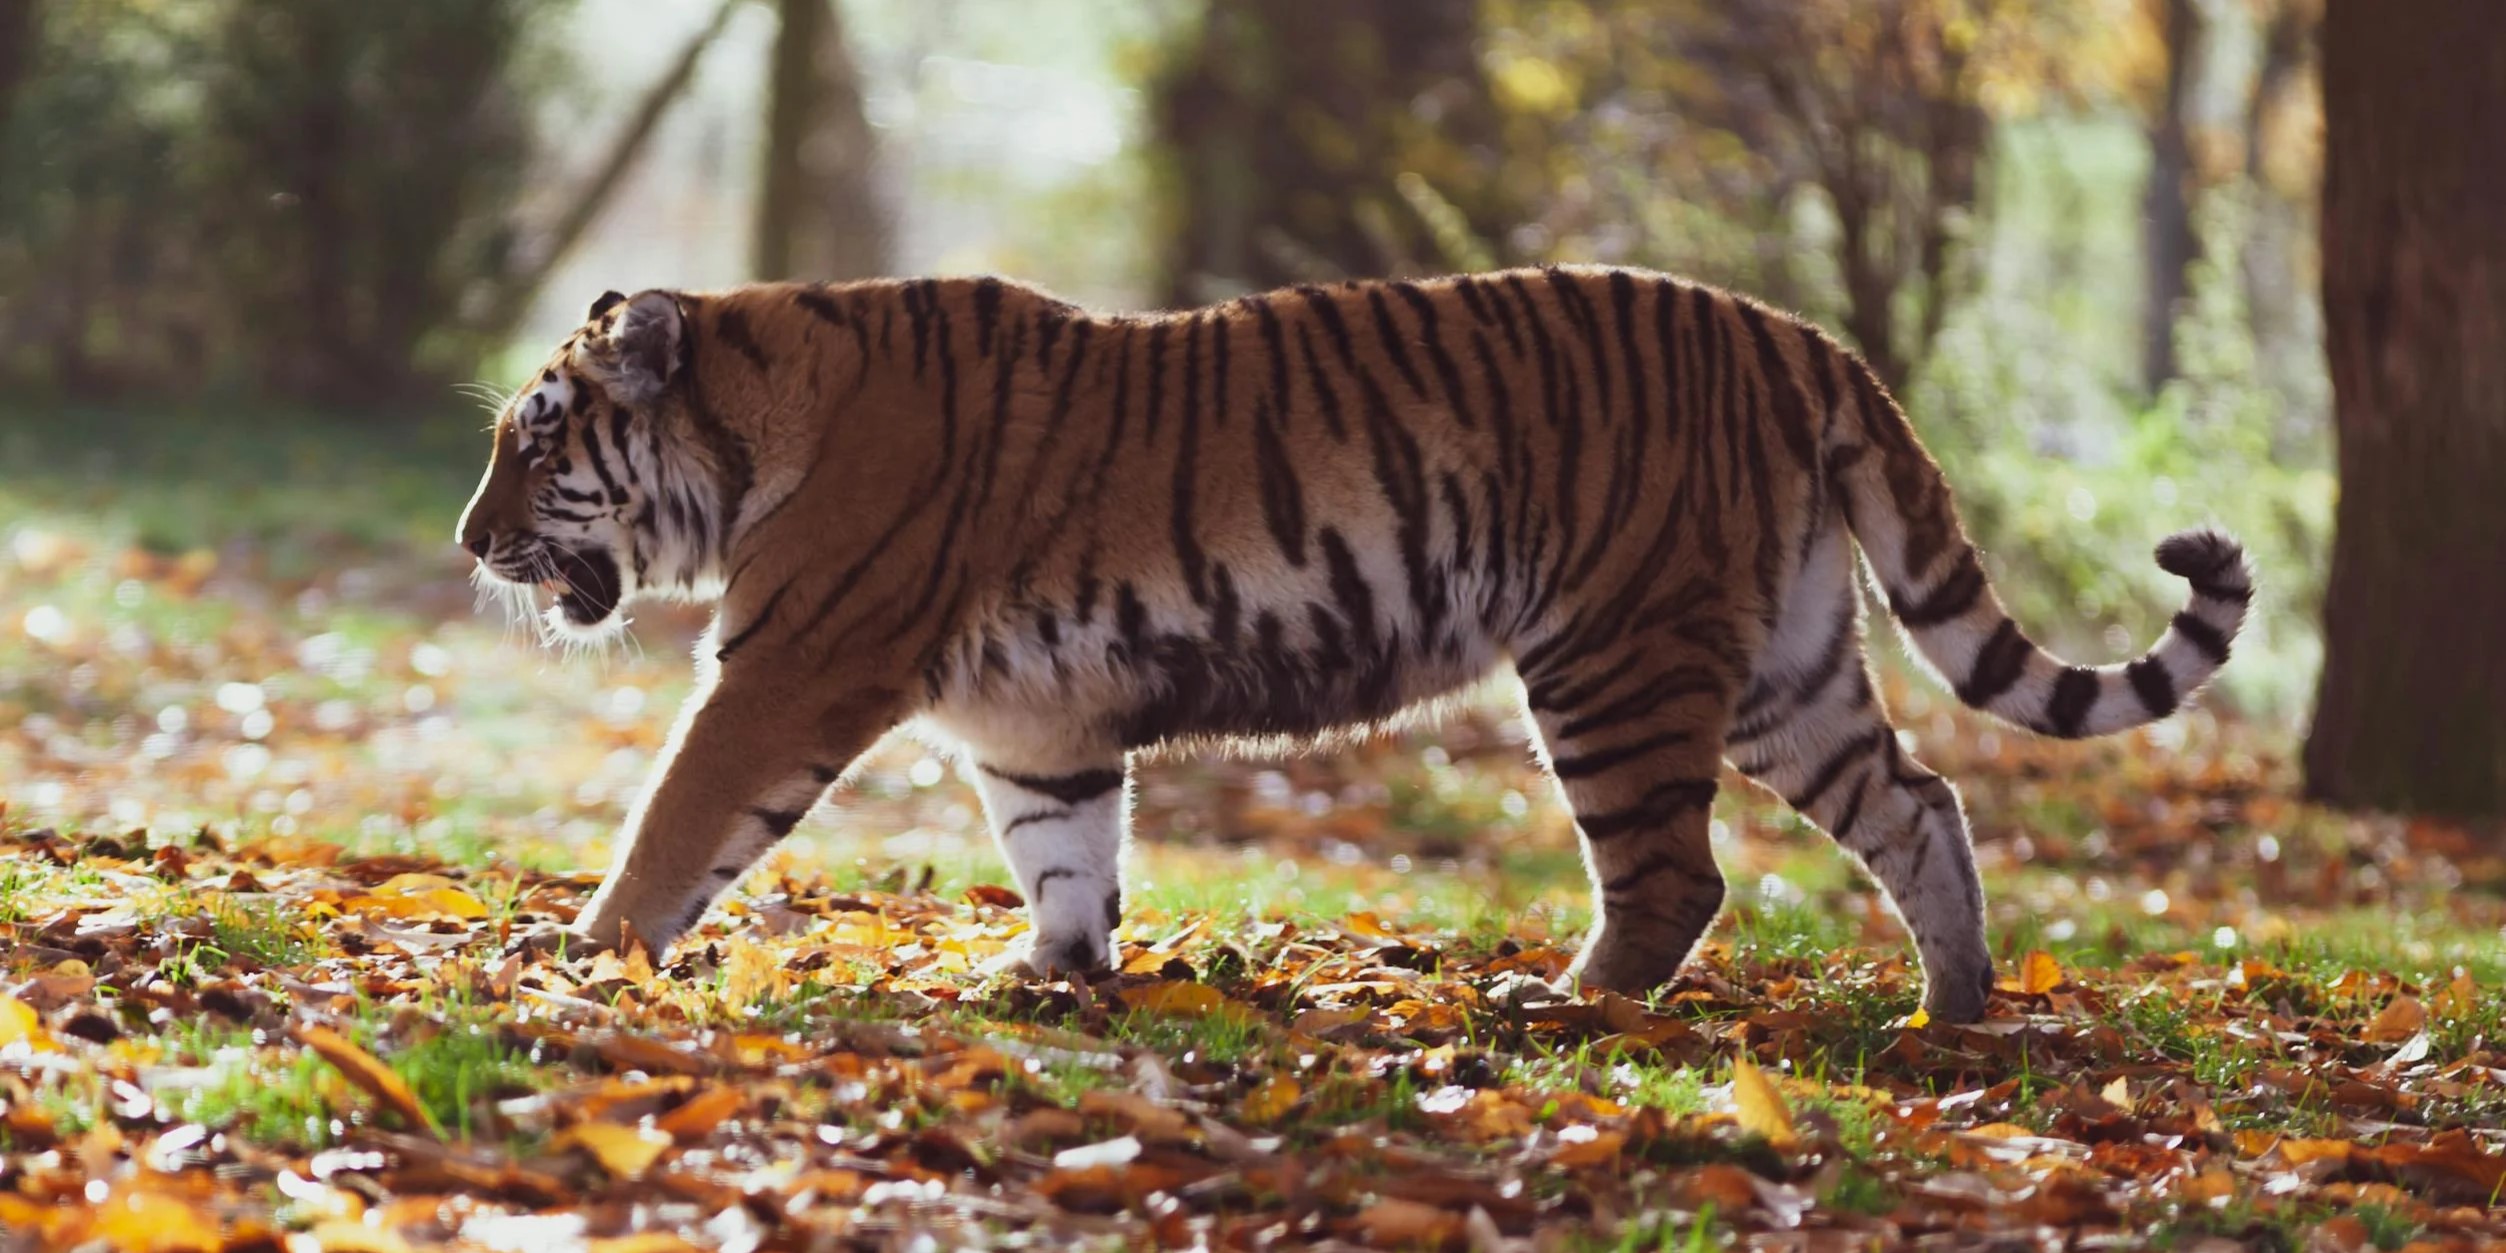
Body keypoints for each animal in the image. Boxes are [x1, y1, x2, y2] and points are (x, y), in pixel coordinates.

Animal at [455, 268, 2250, 1023]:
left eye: (535, 444)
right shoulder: (1035, 721)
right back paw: (1952, 1012)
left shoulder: (792, 666)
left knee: (1675, 875)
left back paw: (1561, 1006)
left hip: (1613, 655)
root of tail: (1796, 334)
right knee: (1919, 804)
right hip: (1782, 668)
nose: (470, 544)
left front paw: (583, 951)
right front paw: (1049, 973)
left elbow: (678, 817)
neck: (759, 415)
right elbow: (1064, 849)